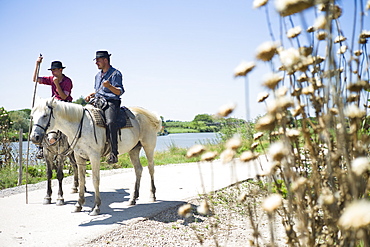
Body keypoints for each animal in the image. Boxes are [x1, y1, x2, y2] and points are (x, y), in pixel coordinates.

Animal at [30, 97, 160, 215]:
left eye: (45, 115)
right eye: (32, 116)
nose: (34, 137)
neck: (81, 126)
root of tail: (149, 115)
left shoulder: (94, 157)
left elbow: (95, 179)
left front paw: (96, 207)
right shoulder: (79, 157)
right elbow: (82, 179)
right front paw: (79, 205)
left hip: (148, 146)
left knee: (151, 168)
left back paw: (152, 195)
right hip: (133, 150)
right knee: (138, 169)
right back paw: (133, 199)